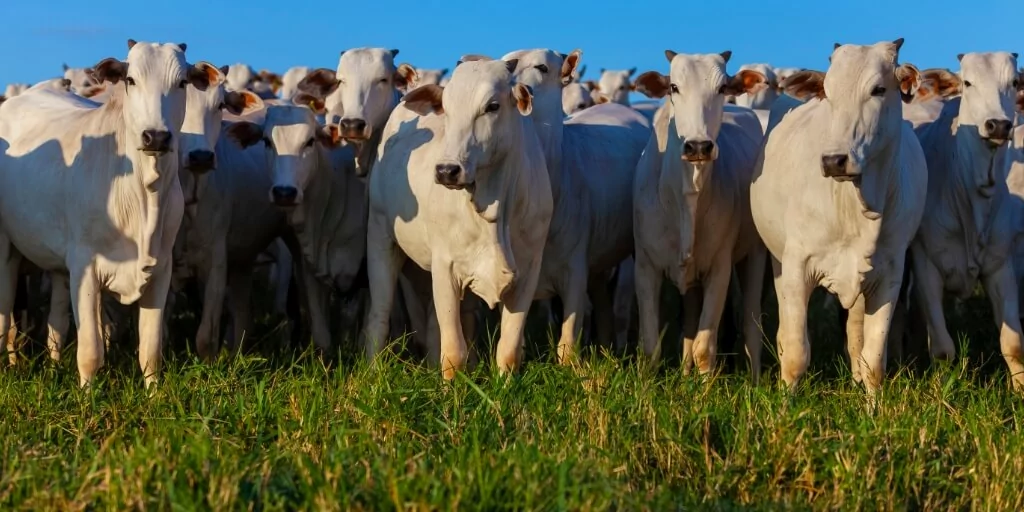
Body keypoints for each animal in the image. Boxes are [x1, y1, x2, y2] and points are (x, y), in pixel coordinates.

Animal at [0, 39, 216, 385]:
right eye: (131, 80)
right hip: (7, 249)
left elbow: (150, 352)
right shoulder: (85, 268)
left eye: (182, 82)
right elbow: (91, 352)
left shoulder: (161, 270)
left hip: (58, 267)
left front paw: (155, 393)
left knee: (56, 324)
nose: (156, 136)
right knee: (6, 318)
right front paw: (87, 395)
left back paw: (54, 366)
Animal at [360, 60, 552, 380]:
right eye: (446, 109)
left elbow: (509, 350)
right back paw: (374, 372)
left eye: (492, 106)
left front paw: (505, 386)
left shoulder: (529, 270)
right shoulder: (445, 267)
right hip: (380, 237)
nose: (447, 171)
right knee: (379, 315)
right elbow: (453, 352)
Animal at [630, 51, 770, 380]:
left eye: (722, 88)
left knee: (750, 325)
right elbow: (652, 346)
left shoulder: (719, 269)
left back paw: (755, 379)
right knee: (689, 326)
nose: (698, 146)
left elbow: (705, 349)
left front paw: (705, 390)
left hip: (755, 255)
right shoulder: (645, 268)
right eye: (673, 87)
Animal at [753, 38, 929, 391]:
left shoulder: (889, 275)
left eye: (878, 89)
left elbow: (872, 359)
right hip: (778, 263)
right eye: (828, 92)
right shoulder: (796, 268)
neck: (855, 210)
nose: (834, 160)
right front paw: (785, 402)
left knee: (855, 336)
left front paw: (872, 402)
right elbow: (795, 354)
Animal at [913, 52, 1024, 387]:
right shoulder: (926, 266)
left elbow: (1013, 343)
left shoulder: (1001, 267)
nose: (998, 125)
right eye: (967, 82)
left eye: (1014, 82)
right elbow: (942, 348)